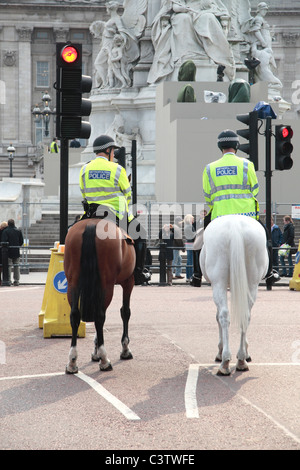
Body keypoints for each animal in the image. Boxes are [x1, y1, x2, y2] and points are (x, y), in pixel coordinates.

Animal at [63, 218, 135, 374]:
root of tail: (91, 224)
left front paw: (95, 351)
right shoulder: (128, 282)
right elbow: (125, 312)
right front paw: (125, 349)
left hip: (73, 282)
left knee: (75, 315)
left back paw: (72, 361)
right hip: (107, 284)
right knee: (100, 316)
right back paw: (104, 360)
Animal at [200, 216, 268, 374]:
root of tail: (235, 225)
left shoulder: (216, 285)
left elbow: (218, 317)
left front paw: (220, 351)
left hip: (218, 282)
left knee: (223, 316)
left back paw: (225, 360)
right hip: (252, 283)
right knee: (246, 315)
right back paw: (242, 359)